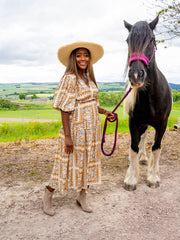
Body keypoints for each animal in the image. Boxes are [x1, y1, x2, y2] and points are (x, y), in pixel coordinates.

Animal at [123, 15, 172, 191]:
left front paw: (153, 178)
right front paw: (131, 179)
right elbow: (134, 147)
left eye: (152, 40)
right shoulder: (134, 122)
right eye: (127, 40)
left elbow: (156, 148)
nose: (136, 75)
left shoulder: (162, 124)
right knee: (141, 138)